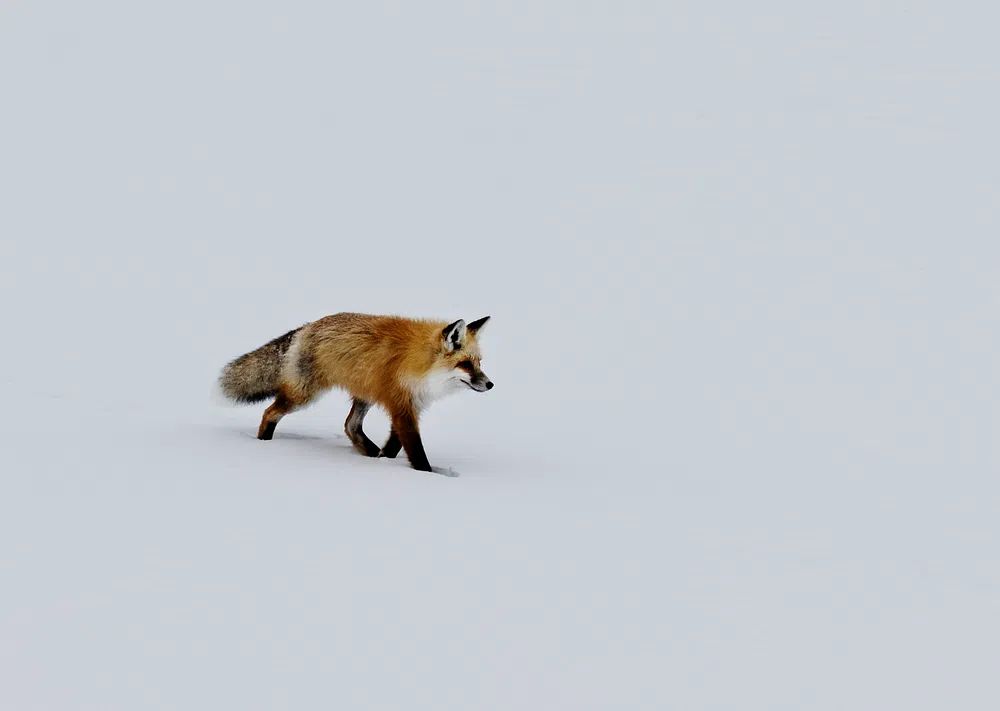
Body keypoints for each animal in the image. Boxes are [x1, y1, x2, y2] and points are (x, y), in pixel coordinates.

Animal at [218, 313, 493, 472]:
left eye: (479, 363)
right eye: (465, 364)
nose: (490, 384)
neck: (420, 365)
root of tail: (307, 327)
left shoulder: (409, 405)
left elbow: (395, 444)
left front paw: (384, 460)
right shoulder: (401, 405)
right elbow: (415, 448)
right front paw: (426, 474)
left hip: (365, 394)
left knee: (350, 425)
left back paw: (370, 453)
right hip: (304, 395)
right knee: (269, 412)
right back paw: (263, 444)